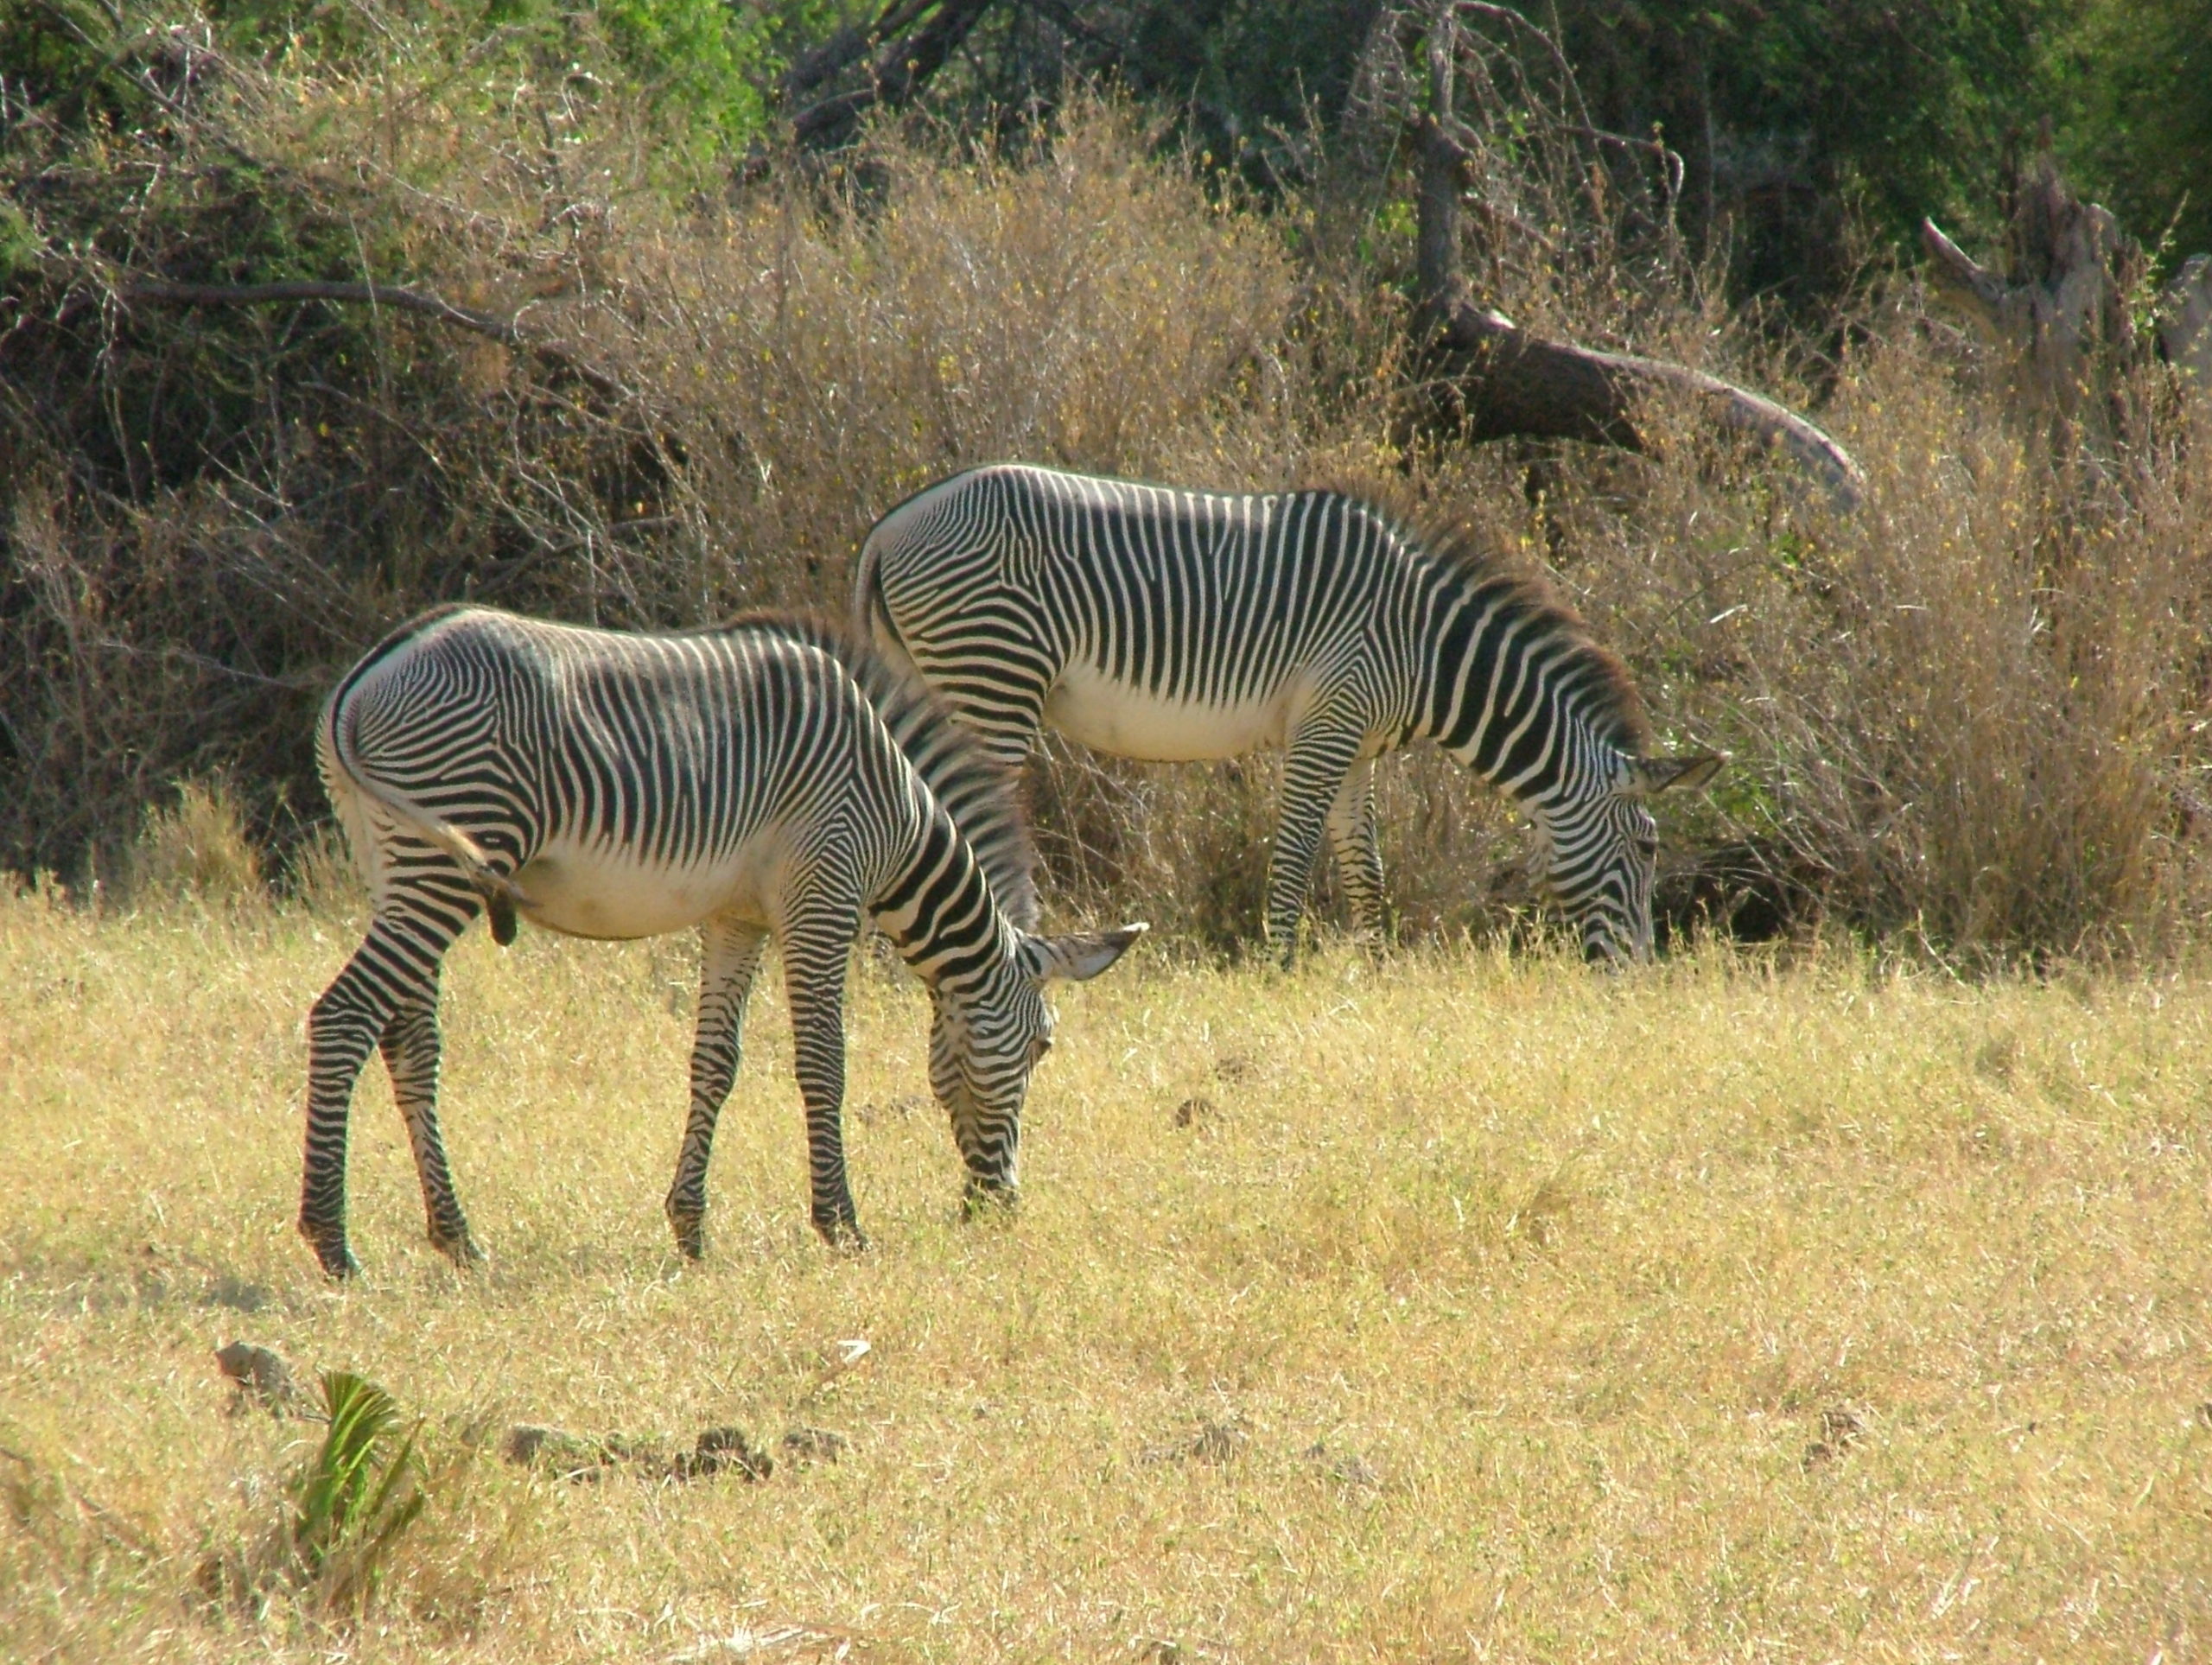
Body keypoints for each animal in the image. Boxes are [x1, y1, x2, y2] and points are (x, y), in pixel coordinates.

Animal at [303, 603, 1144, 1278]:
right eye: (1043, 1047)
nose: (997, 1206)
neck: (896, 810)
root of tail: (366, 677)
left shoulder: (737, 916)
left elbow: (716, 1063)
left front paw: (690, 1227)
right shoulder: (823, 891)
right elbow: (824, 1060)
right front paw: (841, 1225)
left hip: (395, 861)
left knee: (410, 1041)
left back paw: (458, 1237)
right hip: (445, 854)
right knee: (343, 1016)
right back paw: (333, 1242)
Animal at [854, 464, 1721, 964]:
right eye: (1647, 849)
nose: (1638, 975)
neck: (1427, 647)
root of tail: (890, 526)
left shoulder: (1358, 741)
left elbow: (1364, 870)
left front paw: (1375, 974)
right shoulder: (1326, 724)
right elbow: (1296, 858)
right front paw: (1282, 971)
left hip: (934, 678)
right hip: (993, 672)